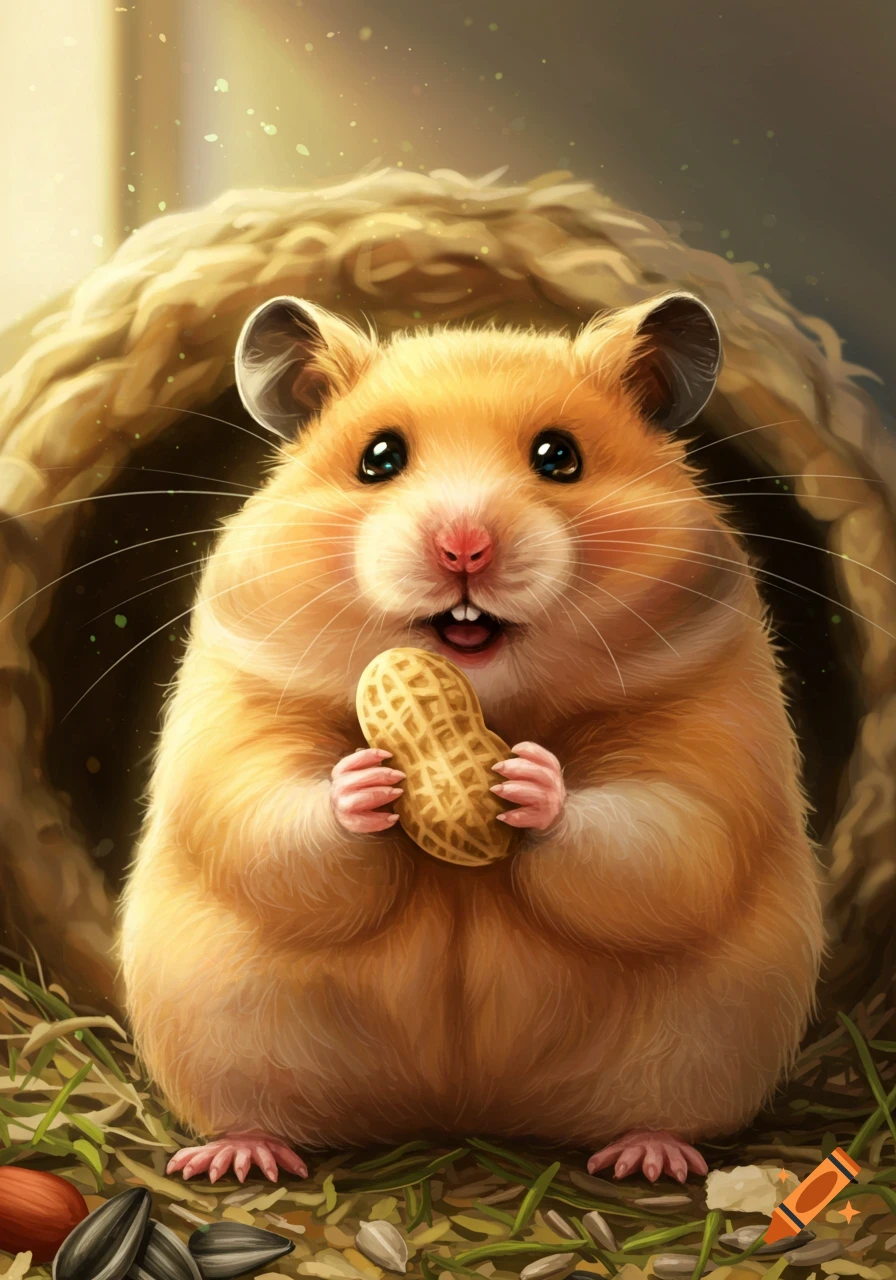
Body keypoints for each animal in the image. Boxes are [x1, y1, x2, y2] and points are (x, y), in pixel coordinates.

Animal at [119, 291, 824, 1186]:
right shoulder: (237, 715)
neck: (488, 703)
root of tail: (462, 1116)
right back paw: (237, 1159)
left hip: (707, 1035)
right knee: (255, 1108)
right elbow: (264, 818)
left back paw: (649, 1159)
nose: (464, 548)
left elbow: (664, 839)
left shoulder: (709, 729)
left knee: (664, 1108)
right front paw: (366, 784)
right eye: (378, 458)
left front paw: (528, 784)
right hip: (222, 1020)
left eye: (559, 458)